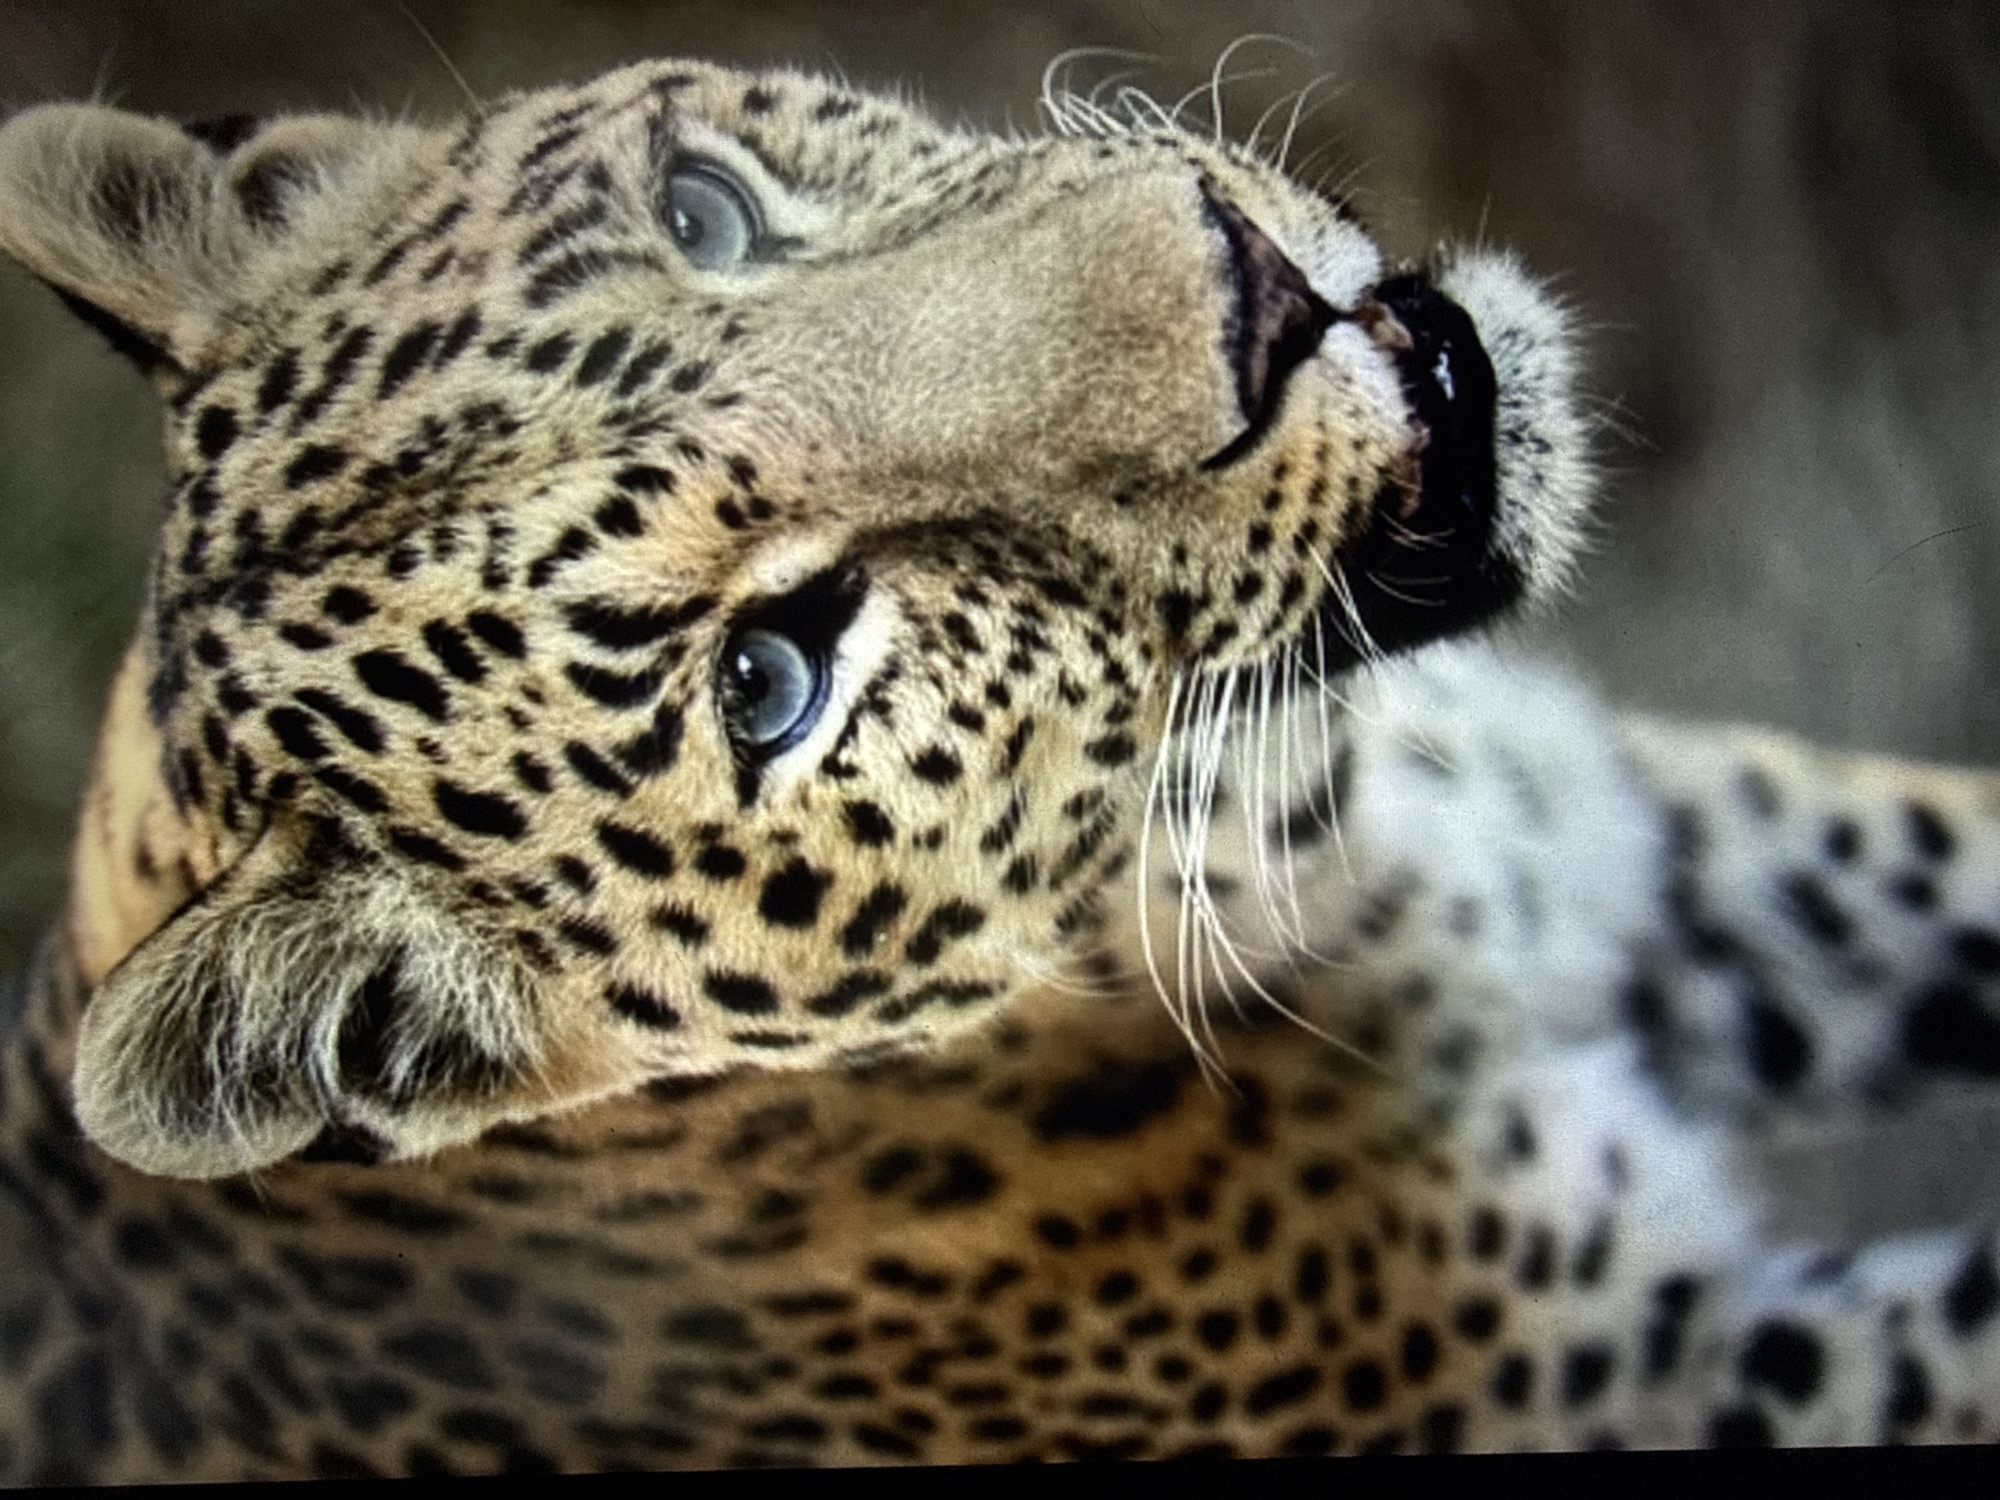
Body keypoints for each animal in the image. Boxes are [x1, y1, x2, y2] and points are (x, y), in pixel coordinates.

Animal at [0, 52, 1993, 1481]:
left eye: (706, 208)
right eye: (771, 677)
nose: (1251, 290)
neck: (1301, 828)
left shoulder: (1635, 836)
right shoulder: (1643, 1379)